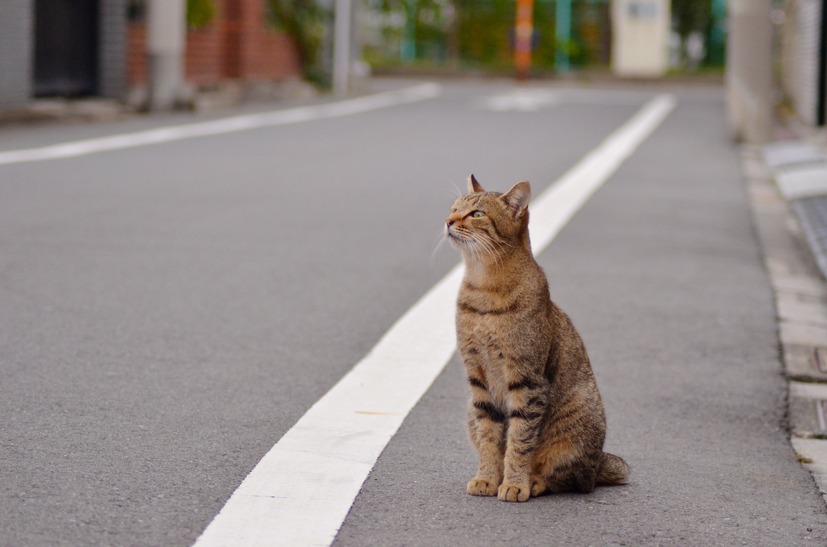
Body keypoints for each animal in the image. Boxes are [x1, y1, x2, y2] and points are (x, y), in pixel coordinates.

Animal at [446, 174, 628, 500]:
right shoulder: (478, 379)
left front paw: (514, 483)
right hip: (469, 409)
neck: (484, 286)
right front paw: (487, 478)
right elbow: (490, 438)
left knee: (571, 478)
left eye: (476, 214)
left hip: (575, 425)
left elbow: (519, 441)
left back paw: (533, 482)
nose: (448, 221)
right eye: (454, 208)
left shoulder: (526, 378)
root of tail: (600, 459)